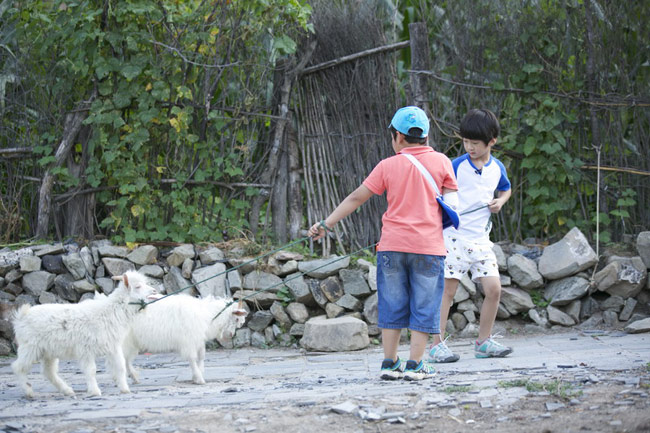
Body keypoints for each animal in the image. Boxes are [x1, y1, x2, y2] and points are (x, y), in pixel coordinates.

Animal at [10, 272, 158, 396]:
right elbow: (91, 370)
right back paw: (29, 391)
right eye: (137, 286)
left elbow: (121, 366)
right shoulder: (85, 348)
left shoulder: (113, 346)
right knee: (18, 367)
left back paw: (67, 390)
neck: (109, 312)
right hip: (30, 347)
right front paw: (95, 391)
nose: (154, 291)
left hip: (48, 352)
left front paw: (124, 389)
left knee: (48, 372)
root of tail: (22, 316)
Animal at [118, 294, 246, 384]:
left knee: (127, 359)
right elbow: (192, 358)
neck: (206, 314)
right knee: (124, 359)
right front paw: (199, 378)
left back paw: (134, 377)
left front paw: (198, 374)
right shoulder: (189, 341)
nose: (231, 334)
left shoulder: (198, 339)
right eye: (237, 319)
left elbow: (201, 356)